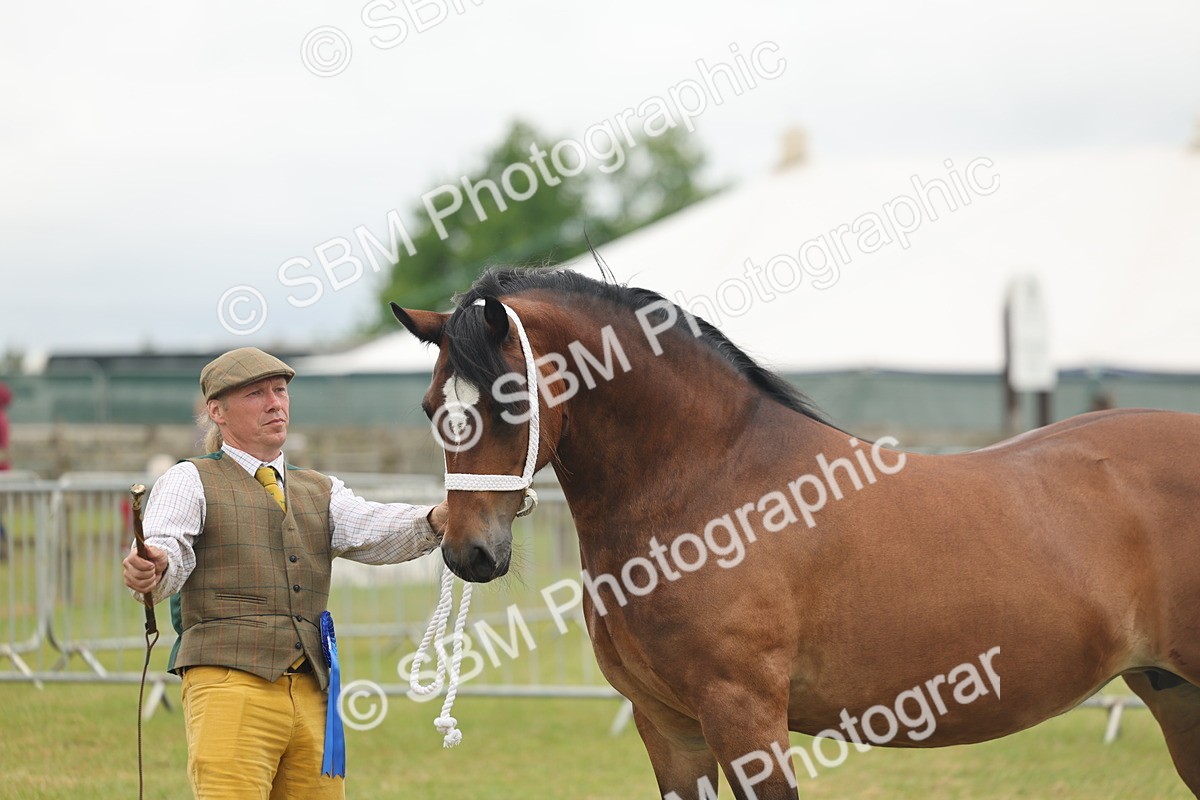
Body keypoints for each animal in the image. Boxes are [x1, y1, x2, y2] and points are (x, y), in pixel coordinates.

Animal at [391, 266, 1200, 799]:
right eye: (431, 407)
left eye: (512, 398)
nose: (470, 553)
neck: (711, 484)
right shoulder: (669, 729)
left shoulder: (745, 719)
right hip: (1174, 693)